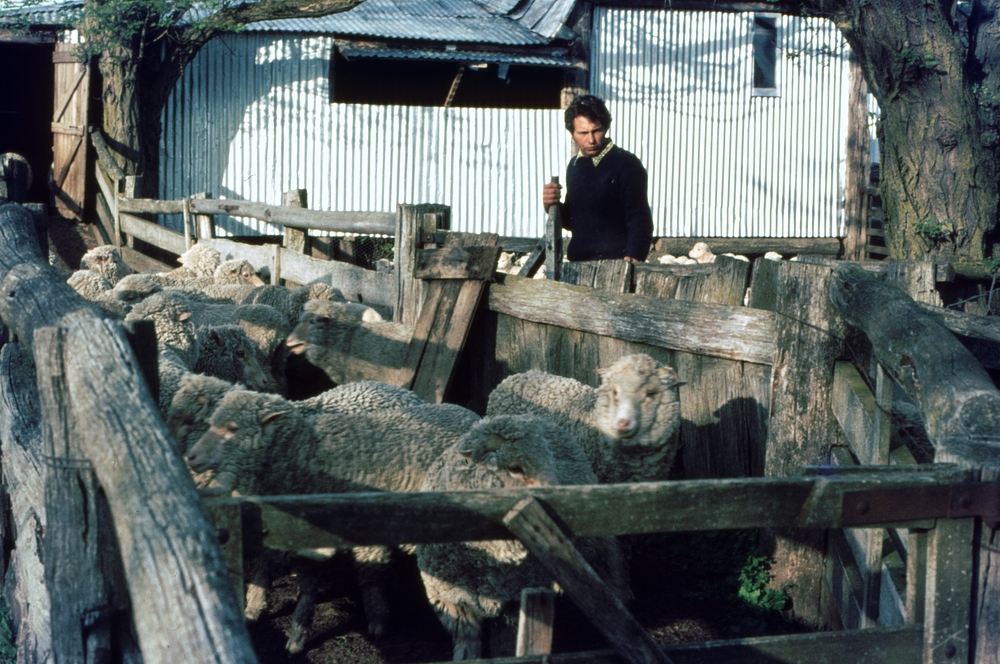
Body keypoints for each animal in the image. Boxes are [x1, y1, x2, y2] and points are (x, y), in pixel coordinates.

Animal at [188, 386, 480, 652]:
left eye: (232, 428)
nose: (191, 456)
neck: (305, 454)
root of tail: (467, 413)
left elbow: (369, 577)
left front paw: (378, 622)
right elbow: (306, 585)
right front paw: (297, 634)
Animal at [414, 416, 632, 660]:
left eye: (548, 462)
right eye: (515, 468)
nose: (559, 500)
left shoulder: (515, 599)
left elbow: (506, 645)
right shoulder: (453, 600)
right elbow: (468, 643)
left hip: (595, 544)